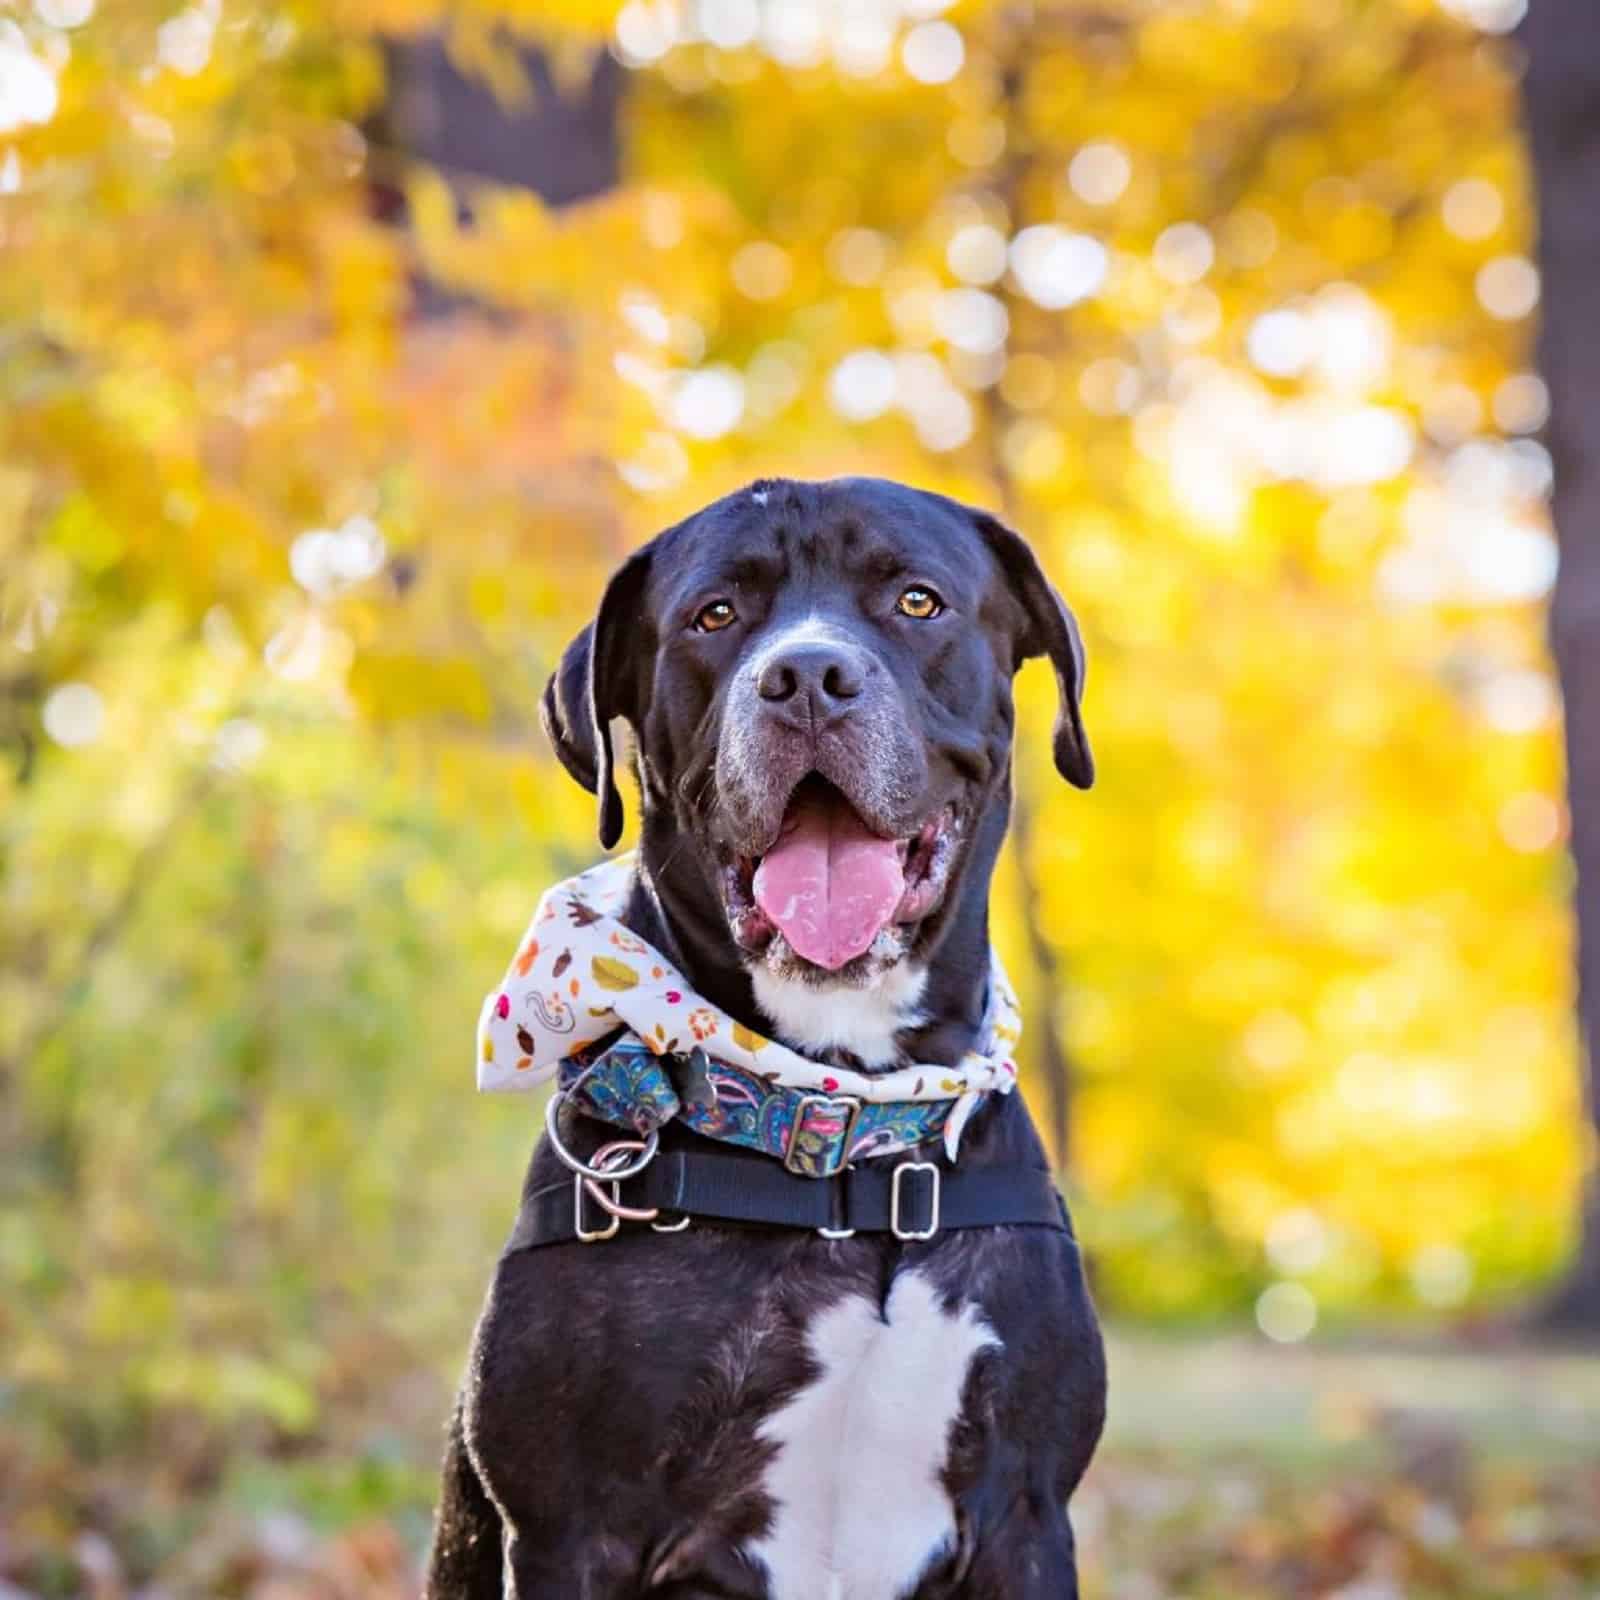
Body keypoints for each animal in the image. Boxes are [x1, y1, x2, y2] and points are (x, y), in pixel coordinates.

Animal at [425, 476, 1107, 1600]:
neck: (842, 1130)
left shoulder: (1024, 1516)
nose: (809, 678)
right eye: (715, 615)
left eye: (916, 602)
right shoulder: (567, 1532)